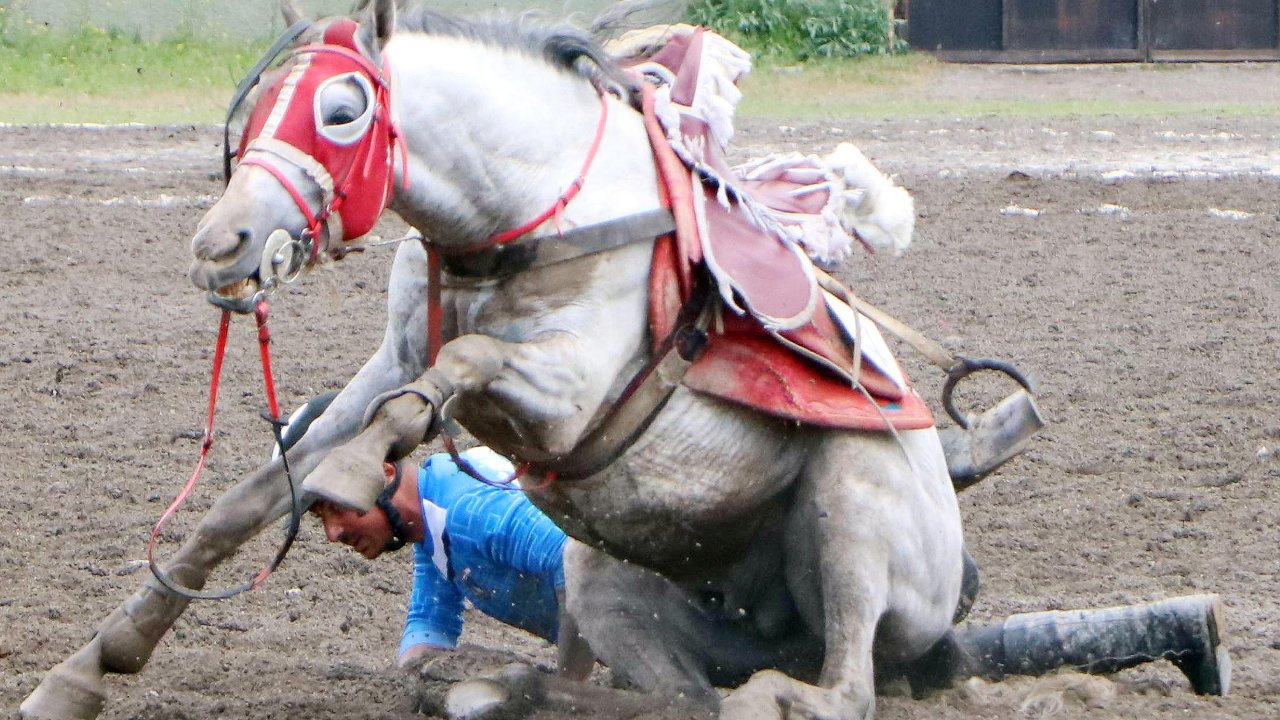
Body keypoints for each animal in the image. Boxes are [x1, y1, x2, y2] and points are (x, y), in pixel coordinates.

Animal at [22, 1, 967, 717]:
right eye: (254, 112)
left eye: (341, 110)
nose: (222, 247)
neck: (528, 214)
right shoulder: (392, 358)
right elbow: (244, 502)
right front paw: (87, 669)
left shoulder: (570, 396)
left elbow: (461, 365)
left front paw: (355, 469)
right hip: (607, 579)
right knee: (680, 695)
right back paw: (518, 689)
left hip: (851, 505)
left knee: (840, 690)